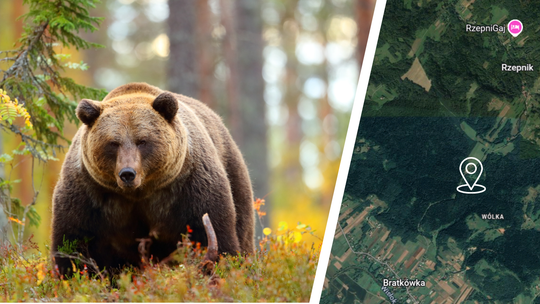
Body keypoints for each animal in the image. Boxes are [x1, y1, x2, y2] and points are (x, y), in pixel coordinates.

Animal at [51, 81, 254, 276]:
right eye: (113, 143)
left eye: (142, 141)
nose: (127, 173)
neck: (139, 192)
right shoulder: (89, 195)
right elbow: (72, 242)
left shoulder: (190, 186)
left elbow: (213, 233)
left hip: (234, 173)